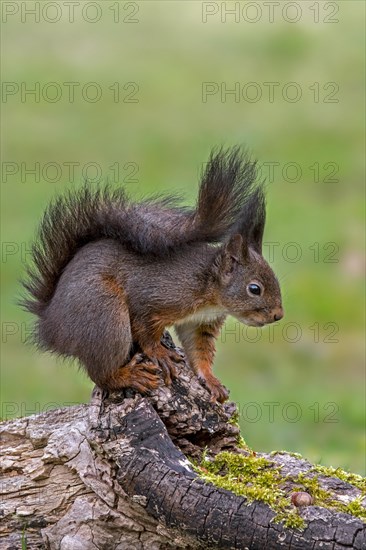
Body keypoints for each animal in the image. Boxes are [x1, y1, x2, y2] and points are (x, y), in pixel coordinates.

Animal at [20, 149, 284, 404]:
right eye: (254, 289)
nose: (278, 315)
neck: (208, 288)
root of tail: (50, 326)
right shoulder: (152, 298)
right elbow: (145, 330)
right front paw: (158, 353)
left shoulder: (200, 323)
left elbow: (199, 350)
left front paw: (211, 380)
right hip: (105, 316)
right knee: (101, 372)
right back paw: (128, 376)